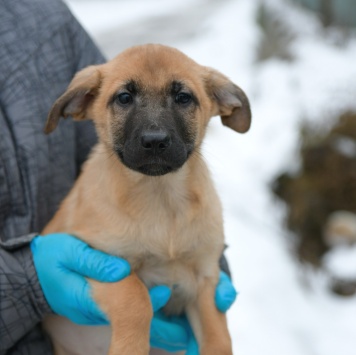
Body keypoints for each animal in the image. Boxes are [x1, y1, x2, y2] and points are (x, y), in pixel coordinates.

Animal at [41, 44, 252, 355]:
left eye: (183, 97)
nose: (155, 141)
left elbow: (219, 337)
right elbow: (136, 297)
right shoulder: (97, 259)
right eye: (124, 98)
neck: (161, 200)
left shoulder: (205, 279)